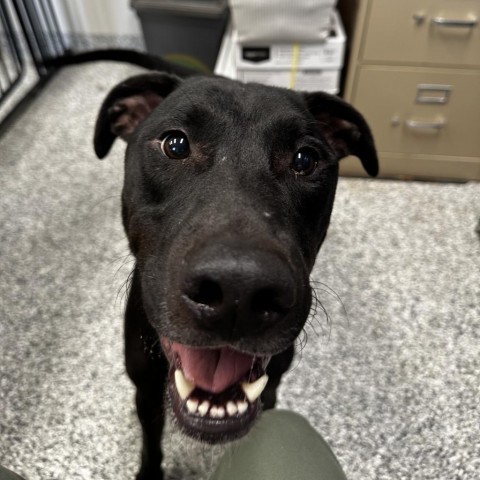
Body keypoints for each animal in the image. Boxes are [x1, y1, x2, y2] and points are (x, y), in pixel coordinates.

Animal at [93, 54, 378, 478]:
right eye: (175, 144)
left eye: (305, 159)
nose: (238, 291)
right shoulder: (144, 389)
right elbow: (150, 443)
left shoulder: (273, 380)